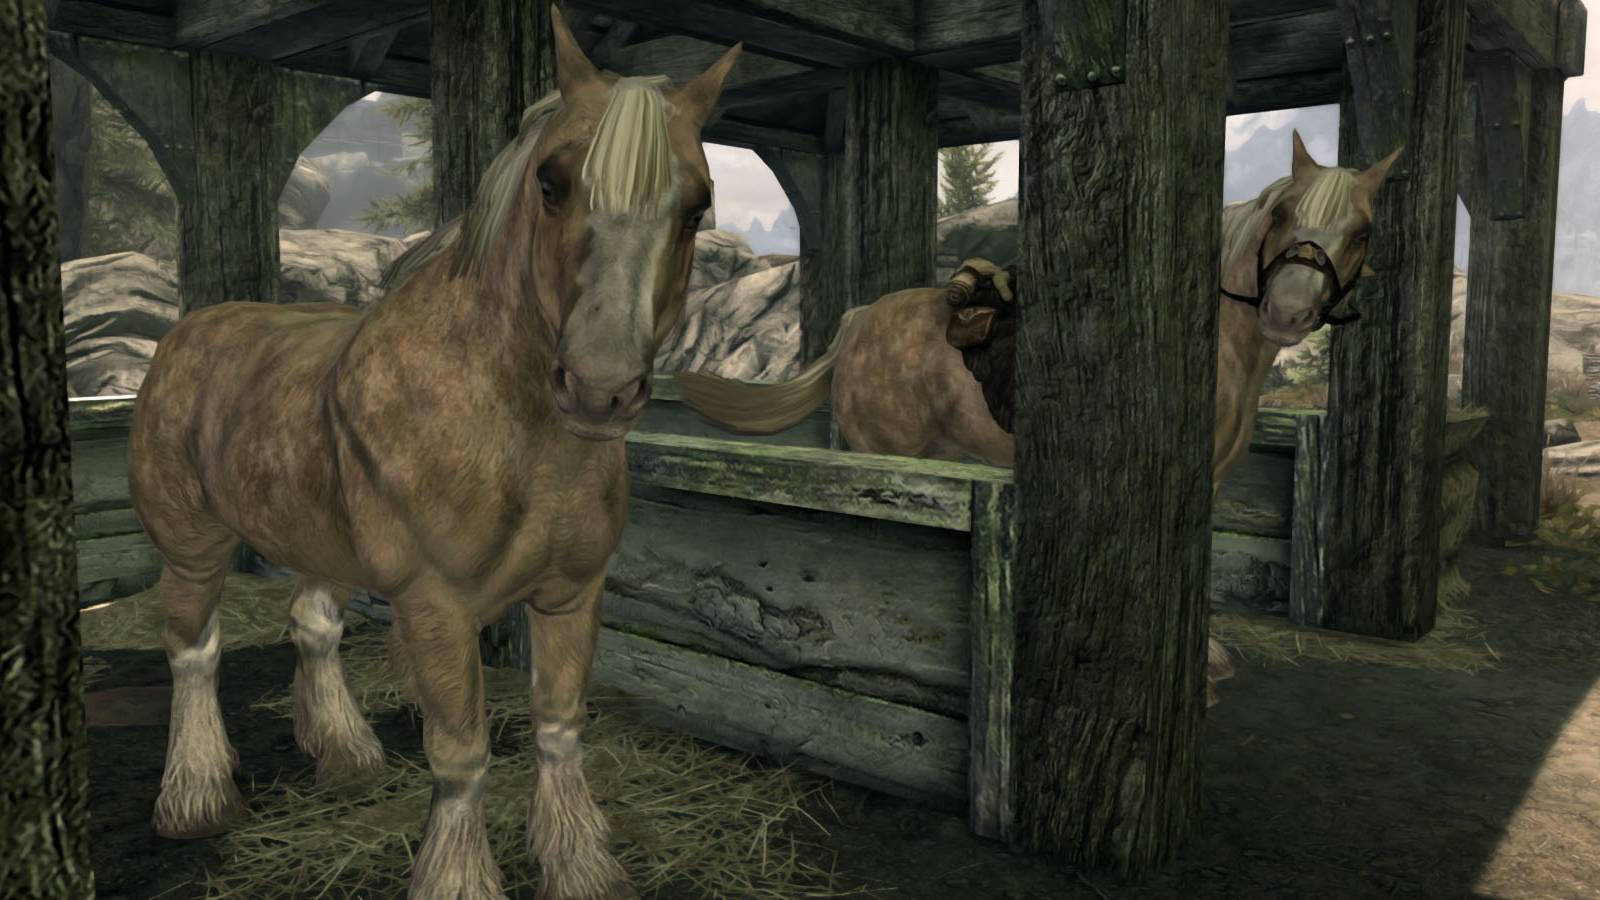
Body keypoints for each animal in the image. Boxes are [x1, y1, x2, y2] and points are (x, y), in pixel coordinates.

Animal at [126, 9, 740, 898]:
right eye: (551, 183)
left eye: (695, 207)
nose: (599, 389)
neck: (515, 435)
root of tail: (188, 331)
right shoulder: (435, 606)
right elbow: (460, 755)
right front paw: (460, 877)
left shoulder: (571, 595)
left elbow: (559, 725)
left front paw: (579, 864)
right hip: (193, 546)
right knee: (192, 650)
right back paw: (198, 795)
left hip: (321, 541)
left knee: (312, 625)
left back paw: (346, 757)